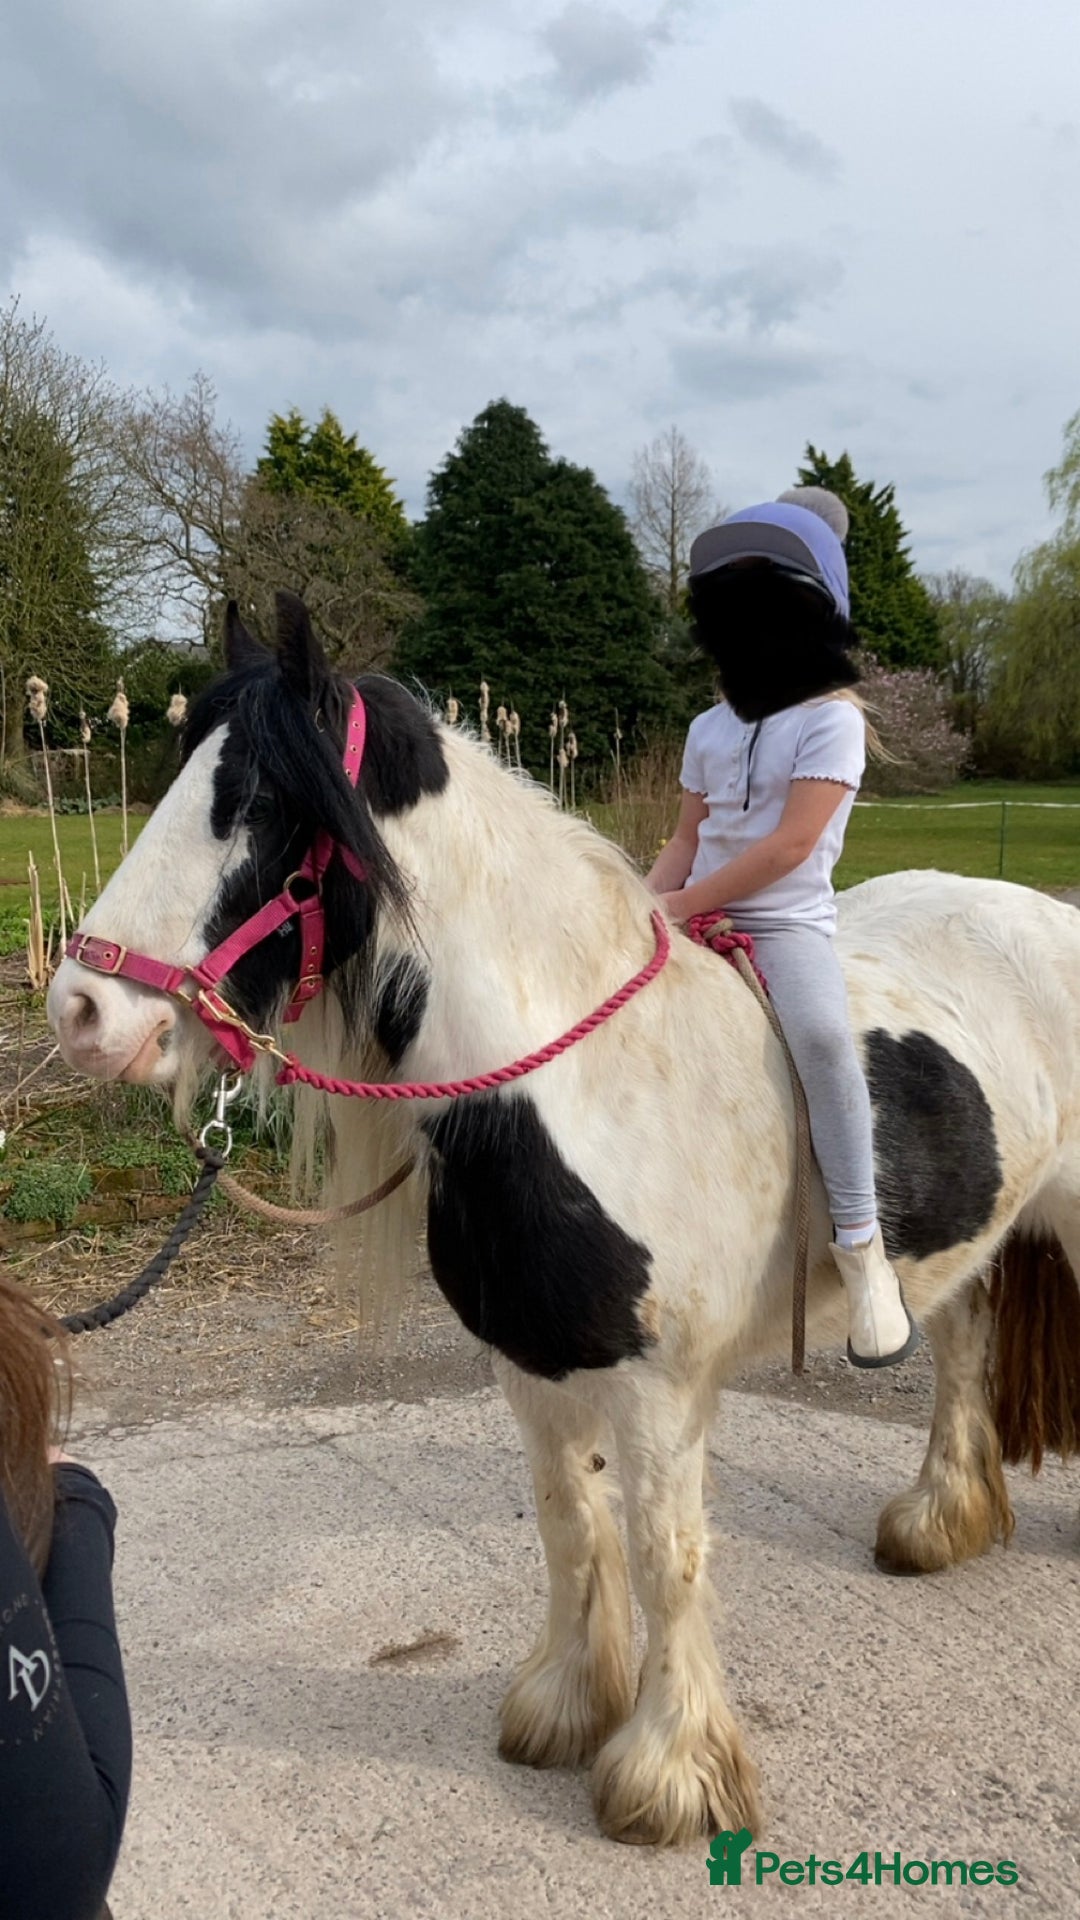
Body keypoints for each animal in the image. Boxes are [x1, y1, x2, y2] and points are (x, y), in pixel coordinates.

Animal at [48, 592, 1080, 1848]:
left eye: (254, 802)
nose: (80, 1009)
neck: (576, 1089)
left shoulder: (659, 1391)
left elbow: (662, 1551)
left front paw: (668, 1775)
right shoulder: (531, 1367)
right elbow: (568, 1523)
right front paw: (567, 1706)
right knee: (966, 1347)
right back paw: (938, 1520)